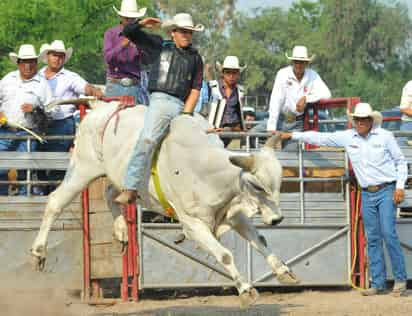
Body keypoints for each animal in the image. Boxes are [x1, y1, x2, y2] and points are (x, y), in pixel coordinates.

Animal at [29, 100, 300, 306]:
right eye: (257, 185)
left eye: (279, 182)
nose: (277, 219)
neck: (207, 170)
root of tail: (101, 107)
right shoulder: (193, 225)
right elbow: (224, 255)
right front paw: (245, 289)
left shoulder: (234, 214)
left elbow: (260, 240)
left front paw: (284, 271)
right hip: (83, 168)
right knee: (55, 202)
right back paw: (38, 252)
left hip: (117, 175)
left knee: (111, 194)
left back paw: (121, 230)